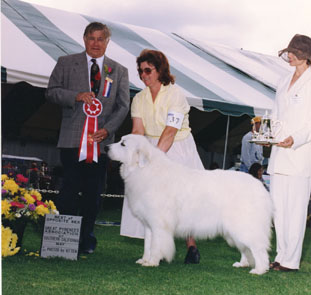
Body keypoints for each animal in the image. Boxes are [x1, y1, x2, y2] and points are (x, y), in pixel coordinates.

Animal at [105, 134, 272, 276]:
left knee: (258, 248)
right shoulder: (148, 225)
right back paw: (242, 264)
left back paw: (259, 270)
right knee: (246, 248)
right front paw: (145, 260)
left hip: (243, 226)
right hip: (235, 229)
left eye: (123, 144)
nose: (106, 147)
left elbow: (156, 245)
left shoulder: (159, 224)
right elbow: (147, 244)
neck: (144, 169)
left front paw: (152, 262)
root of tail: (260, 187)